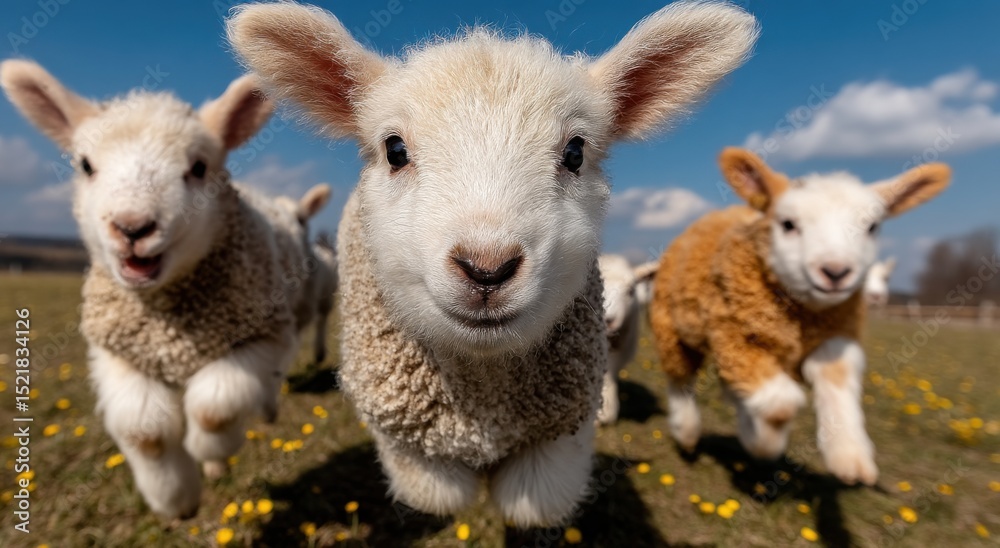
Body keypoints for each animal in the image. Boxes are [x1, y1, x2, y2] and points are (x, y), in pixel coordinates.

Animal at [0, 60, 321, 519]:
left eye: (200, 167)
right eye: (85, 166)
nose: (132, 228)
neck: (169, 325)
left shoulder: (260, 334)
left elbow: (214, 408)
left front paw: (209, 450)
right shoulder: (119, 350)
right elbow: (145, 433)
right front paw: (176, 499)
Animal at [648, 147, 950, 486]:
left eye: (872, 227)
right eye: (789, 224)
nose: (836, 272)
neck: (803, 314)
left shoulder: (835, 334)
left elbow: (836, 379)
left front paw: (849, 454)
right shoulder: (735, 337)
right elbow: (783, 403)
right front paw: (765, 444)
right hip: (670, 327)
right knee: (680, 379)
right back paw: (686, 431)